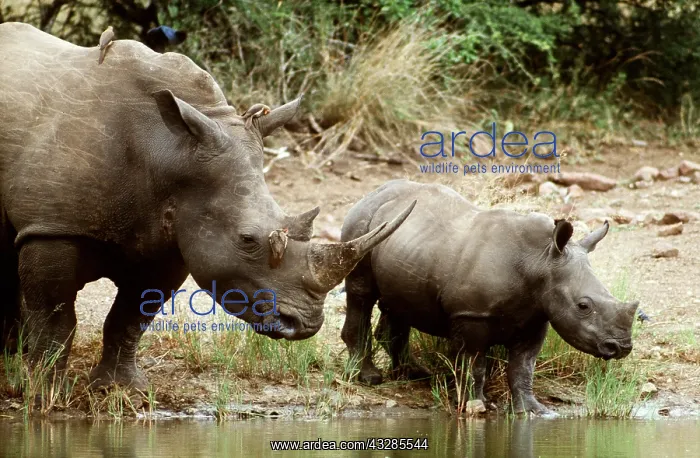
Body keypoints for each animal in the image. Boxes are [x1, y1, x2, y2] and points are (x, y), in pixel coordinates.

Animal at [0, 22, 415, 391]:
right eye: (247, 240)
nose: (305, 325)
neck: (170, 150)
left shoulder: (173, 237)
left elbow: (132, 316)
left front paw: (123, 389)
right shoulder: (52, 225)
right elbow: (56, 318)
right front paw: (46, 391)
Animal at [340, 179, 639, 415]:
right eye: (583, 306)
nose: (621, 347)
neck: (541, 261)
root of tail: (373, 192)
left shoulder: (537, 316)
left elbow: (523, 368)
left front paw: (534, 411)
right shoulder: (471, 314)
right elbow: (476, 365)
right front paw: (477, 406)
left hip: (407, 243)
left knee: (398, 302)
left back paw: (414, 374)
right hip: (362, 228)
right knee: (361, 294)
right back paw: (369, 377)